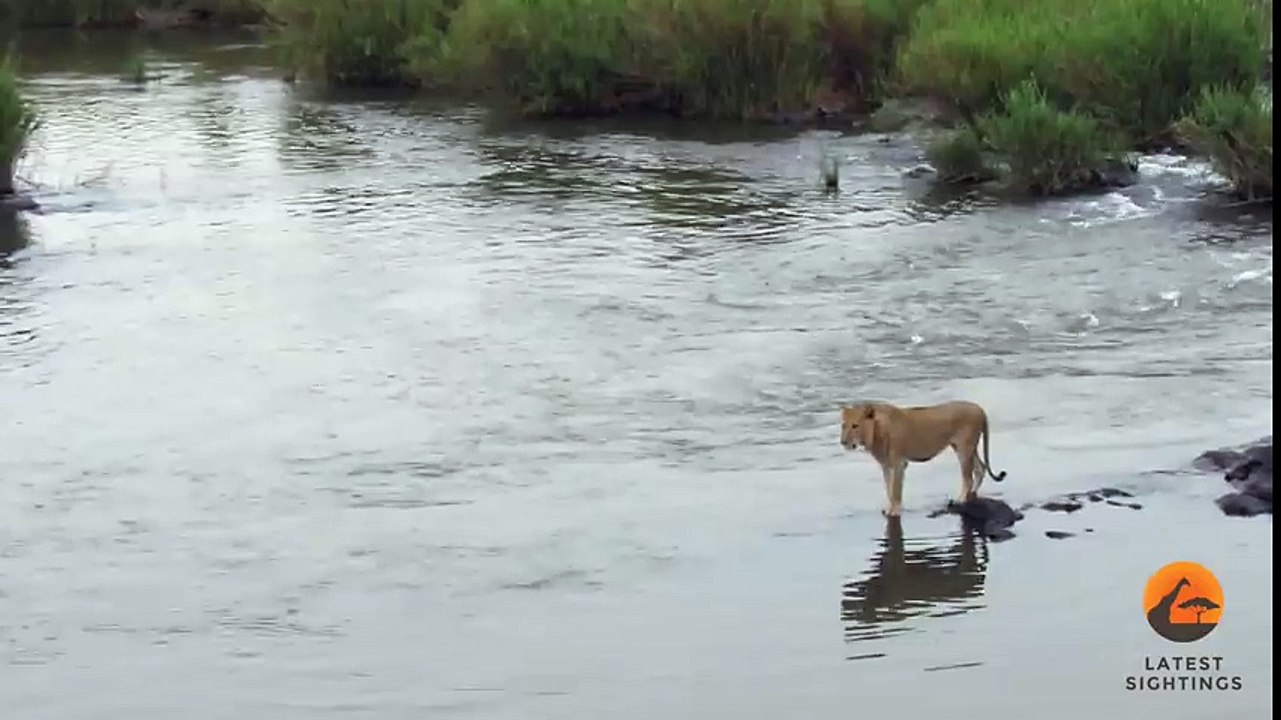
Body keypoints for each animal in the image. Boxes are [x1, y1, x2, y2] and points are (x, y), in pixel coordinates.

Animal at [839, 400, 1008, 517]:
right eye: (843, 425)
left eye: (855, 426)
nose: (843, 442)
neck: (875, 432)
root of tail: (980, 408)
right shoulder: (886, 466)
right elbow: (888, 489)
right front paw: (890, 508)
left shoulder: (899, 463)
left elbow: (896, 489)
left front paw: (895, 511)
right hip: (967, 447)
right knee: (981, 468)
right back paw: (971, 494)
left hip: (964, 449)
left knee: (968, 477)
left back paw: (960, 499)